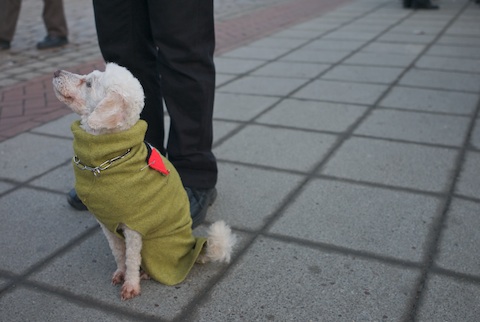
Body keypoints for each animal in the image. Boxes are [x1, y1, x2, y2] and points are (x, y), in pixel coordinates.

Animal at [52, 63, 236, 302]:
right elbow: (119, 253)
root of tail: (192, 249)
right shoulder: (107, 223)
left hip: (154, 245)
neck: (105, 160)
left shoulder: (133, 228)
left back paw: (146, 274)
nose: (56, 72)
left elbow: (131, 258)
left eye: (89, 83)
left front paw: (131, 285)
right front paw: (120, 273)